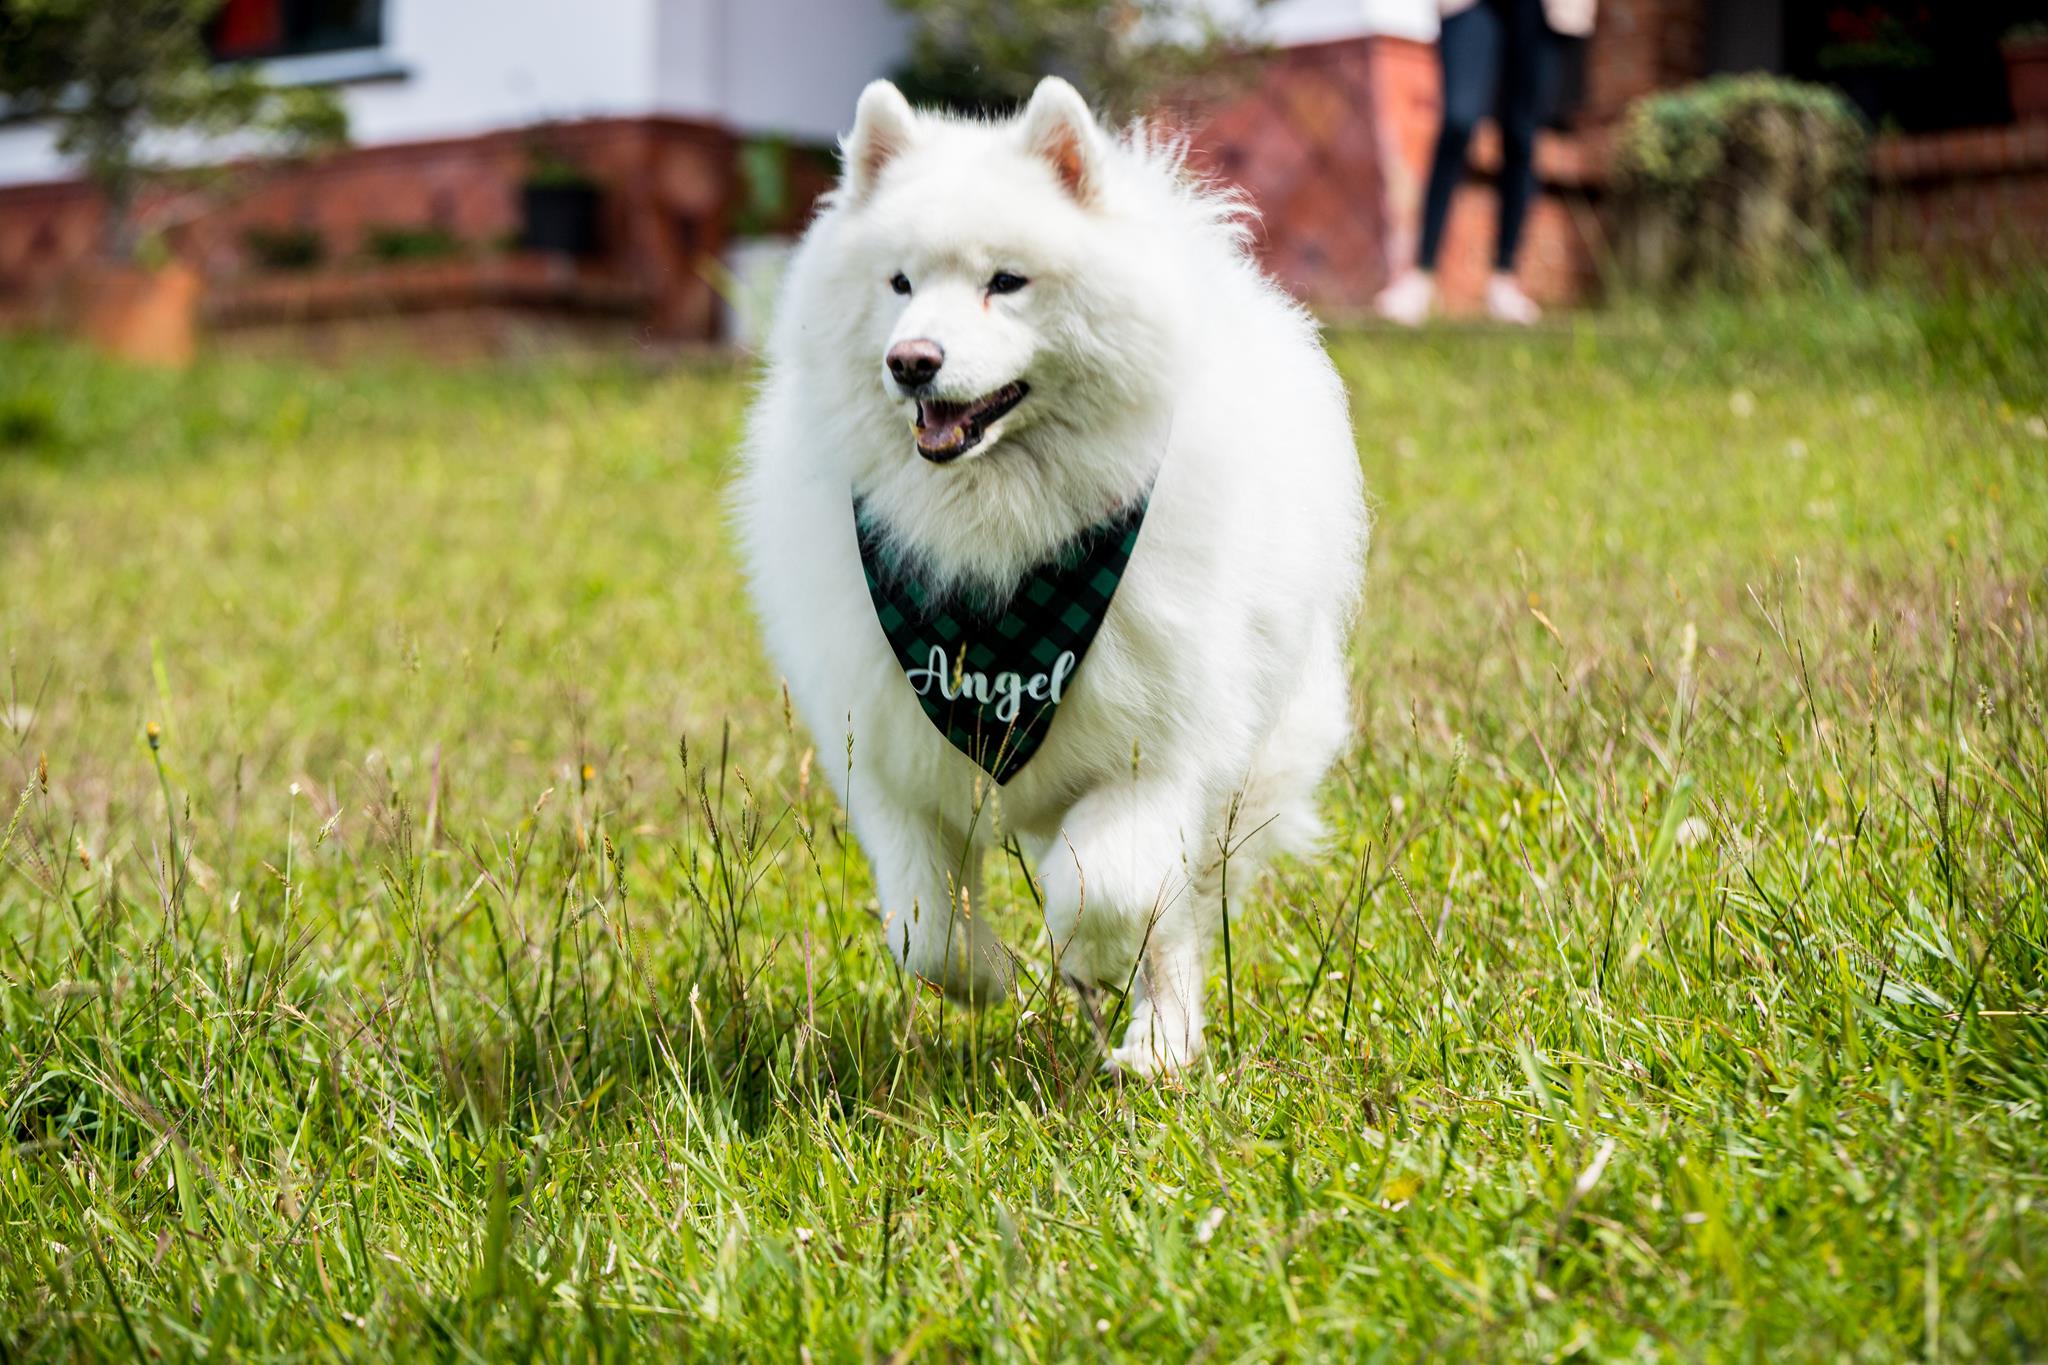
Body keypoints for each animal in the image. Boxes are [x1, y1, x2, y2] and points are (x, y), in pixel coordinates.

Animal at [735, 76, 1367, 1076]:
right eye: (900, 283)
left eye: (1006, 282)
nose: (911, 360)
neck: (995, 544)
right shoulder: (889, 755)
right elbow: (922, 928)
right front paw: (988, 975)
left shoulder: (1158, 754)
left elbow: (1106, 888)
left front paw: (1091, 961)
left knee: (1180, 916)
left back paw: (1157, 1046)